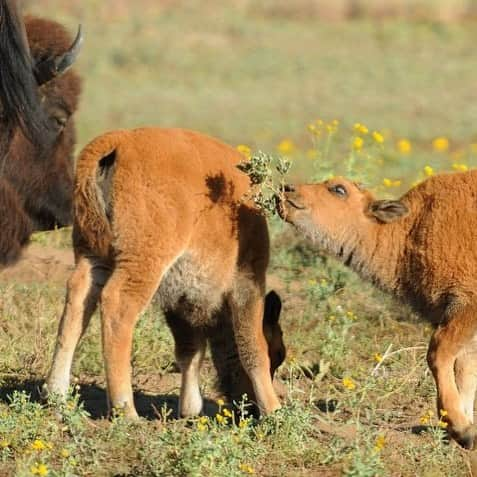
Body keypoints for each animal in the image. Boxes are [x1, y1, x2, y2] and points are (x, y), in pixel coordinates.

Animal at [42, 126, 284, 416]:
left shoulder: (179, 294)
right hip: (145, 261)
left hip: (92, 253)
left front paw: (190, 409)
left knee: (77, 301)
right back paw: (126, 410)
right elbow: (252, 346)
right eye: (278, 354)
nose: (248, 408)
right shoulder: (247, 282)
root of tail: (119, 140)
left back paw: (56, 395)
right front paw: (274, 409)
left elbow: (190, 350)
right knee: (117, 305)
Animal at [278, 173, 477, 448]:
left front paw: (459, 428)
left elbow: (439, 355)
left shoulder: (464, 305)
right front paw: (467, 428)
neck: (409, 230)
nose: (287, 189)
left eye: (339, 189)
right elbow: (465, 369)